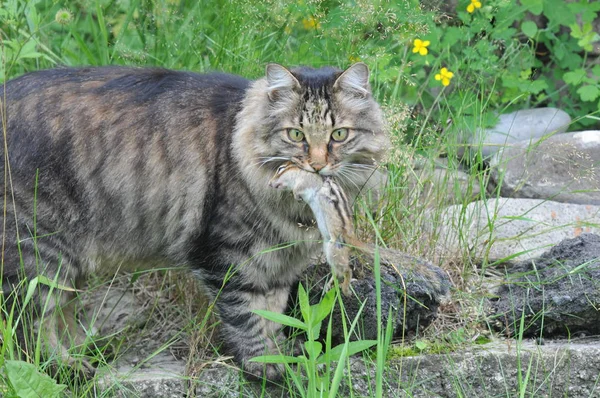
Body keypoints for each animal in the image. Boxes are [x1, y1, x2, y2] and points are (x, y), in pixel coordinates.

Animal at [0, 62, 446, 380]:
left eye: (339, 135)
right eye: (296, 135)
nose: (317, 167)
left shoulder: (276, 266)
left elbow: (273, 313)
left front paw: (280, 356)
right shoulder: (225, 256)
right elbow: (246, 316)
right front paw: (266, 368)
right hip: (40, 249)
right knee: (27, 325)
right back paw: (67, 367)